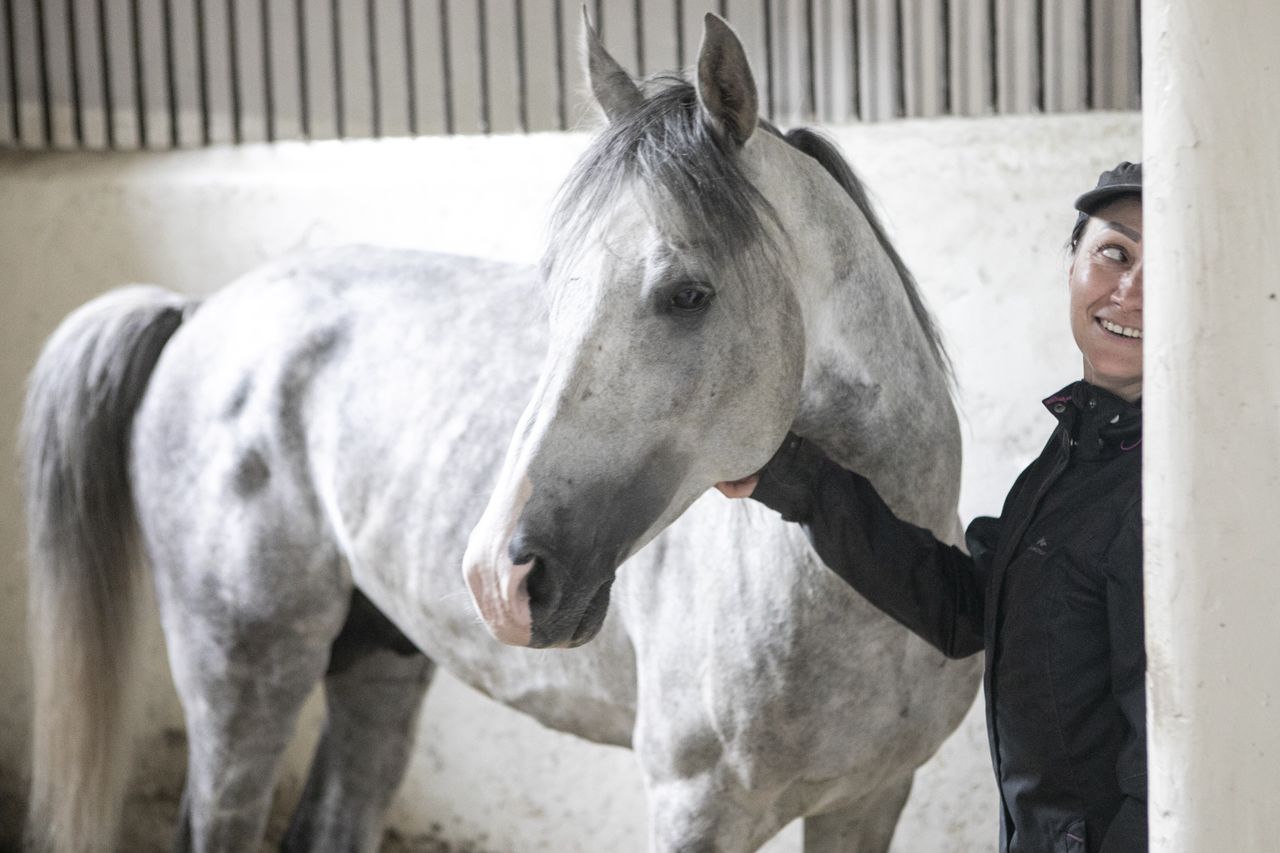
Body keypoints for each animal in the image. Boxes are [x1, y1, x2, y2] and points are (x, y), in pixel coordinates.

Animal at [20, 14, 977, 850]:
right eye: (553, 285)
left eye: (688, 293)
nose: (497, 576)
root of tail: (198, 313)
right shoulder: (696, 807)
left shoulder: (869, 800)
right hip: (242, 672)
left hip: (377, 662)